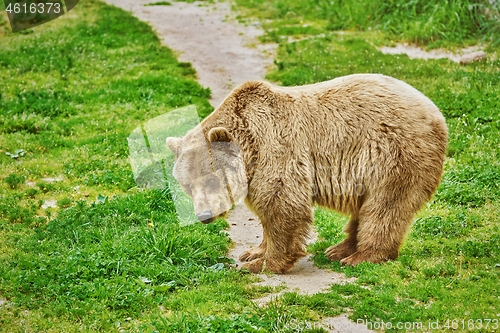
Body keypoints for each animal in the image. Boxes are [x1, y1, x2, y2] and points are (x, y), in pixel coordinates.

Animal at [167, 74, 450, 274]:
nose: (204, 216)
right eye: (187, 185)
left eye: (211, 179)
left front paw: (262, 264)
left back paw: (361, 257)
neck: (249, 147)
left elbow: (281, 203)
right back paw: (339, 249)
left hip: (393, 154)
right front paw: (254, 252)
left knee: (385, 207)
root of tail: (436, 111)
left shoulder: (277, 149)